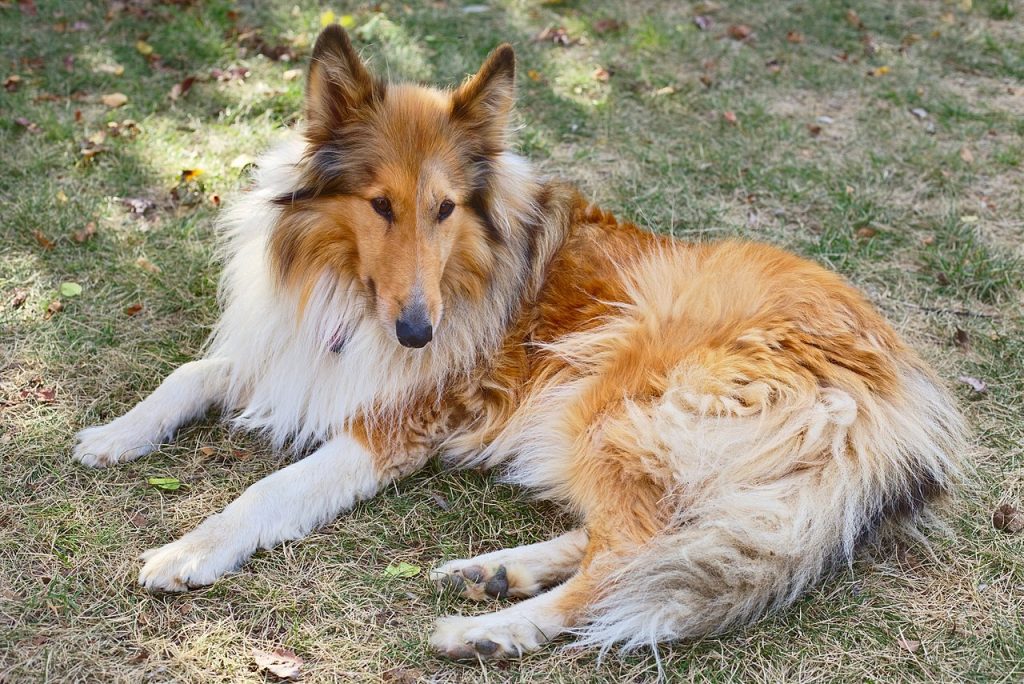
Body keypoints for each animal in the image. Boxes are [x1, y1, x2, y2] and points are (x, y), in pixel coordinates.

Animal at [75, 28, 962, 663]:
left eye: (444, 208)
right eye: (380, 204)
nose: (418, 334)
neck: (351, 288)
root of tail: (896, 386)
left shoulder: (388, 427)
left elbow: (263, 494)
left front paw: (188, 550)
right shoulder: (291, 352)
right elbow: (190, 373)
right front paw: (115, 435)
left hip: (612, 394)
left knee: (634, 552)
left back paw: (494, 631)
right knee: (651, 534)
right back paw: (496, 572)